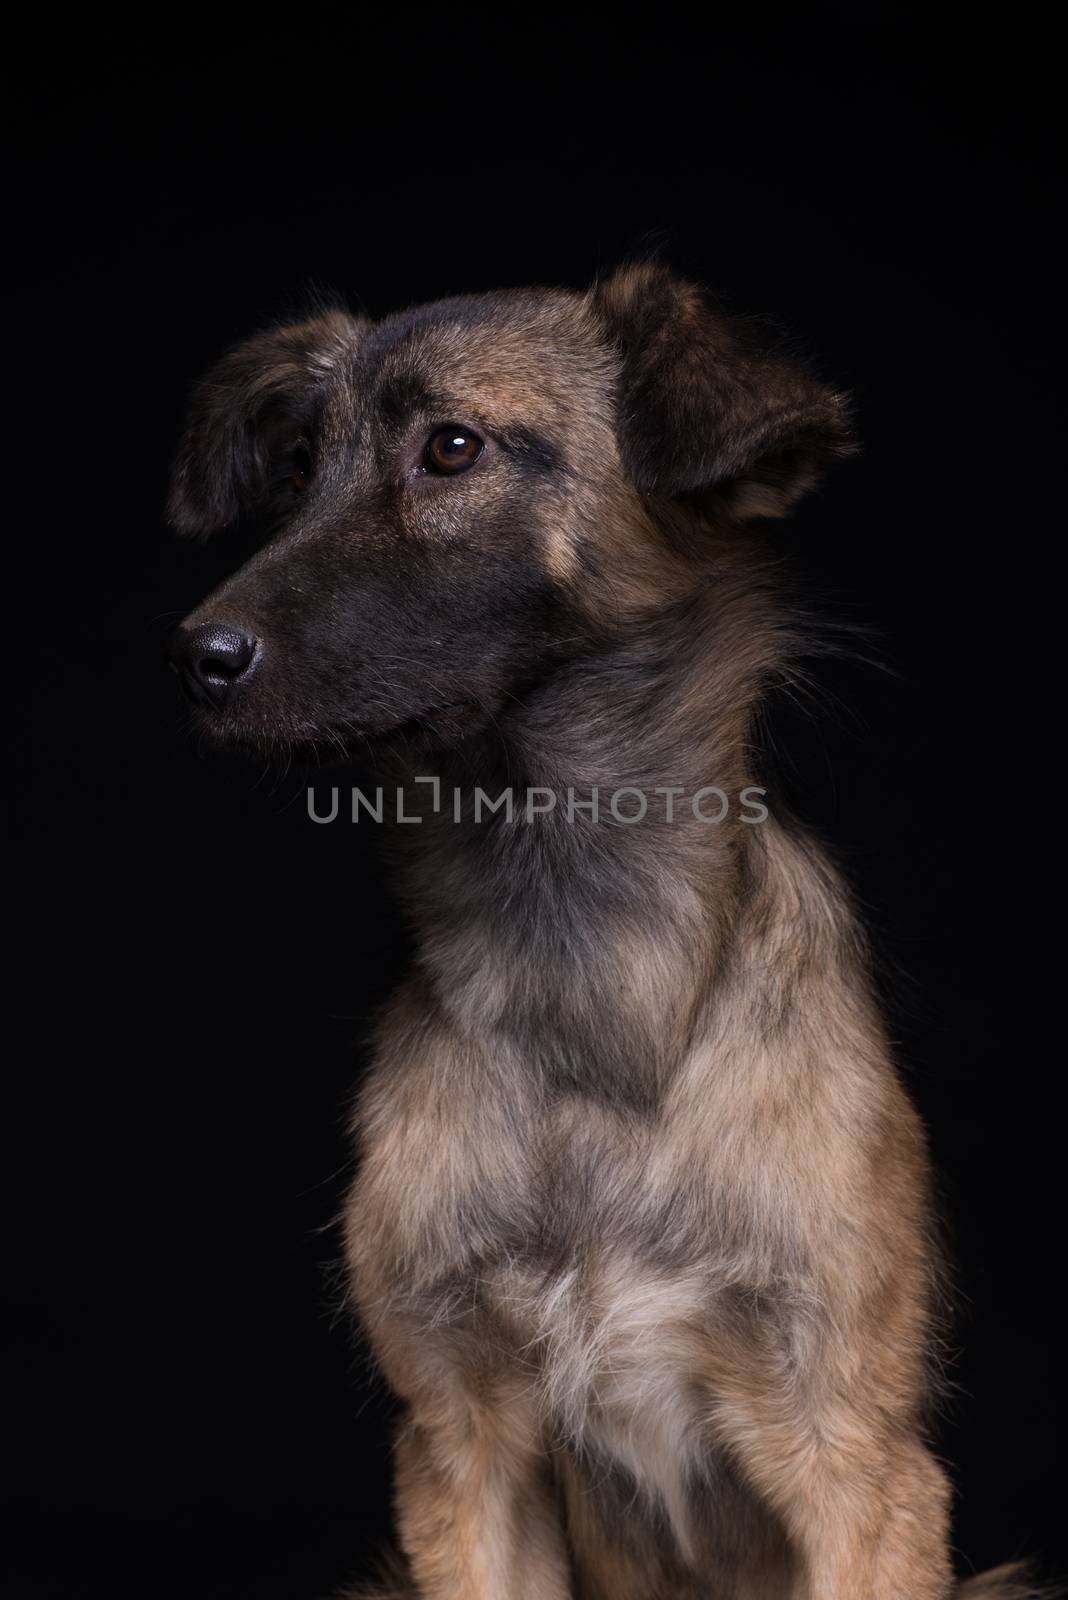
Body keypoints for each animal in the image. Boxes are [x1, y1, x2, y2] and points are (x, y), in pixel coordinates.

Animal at [164, 265, 1036, 1600]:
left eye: (452, 447)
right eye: (302, 462)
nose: (199, 657)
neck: (579, 963)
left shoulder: (856, 1457)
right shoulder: (464, 1448)